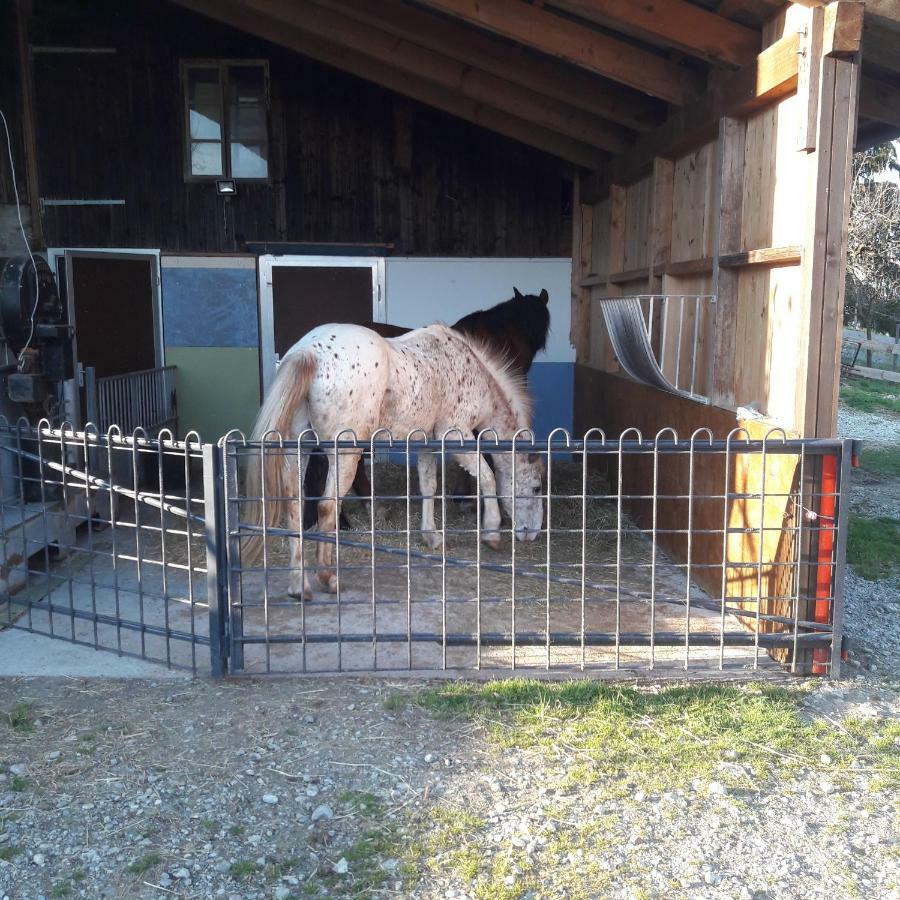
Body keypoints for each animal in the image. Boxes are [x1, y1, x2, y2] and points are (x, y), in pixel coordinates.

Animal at [243, 324, 544, 596]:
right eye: (537, 488)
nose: (531, 534)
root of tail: (309, 352)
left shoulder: (425, 442)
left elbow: (428, 487)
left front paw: (431, 536)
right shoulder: (454, 434)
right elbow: (487, 477)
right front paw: (491, 532)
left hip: (299, 449)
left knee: (293, 506)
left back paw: (299, 586)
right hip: (344, 455)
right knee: (327, 507)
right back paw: (328, 579)